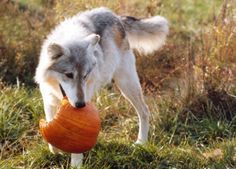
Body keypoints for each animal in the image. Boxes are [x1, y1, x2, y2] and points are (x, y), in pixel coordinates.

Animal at [34, 6, 168, 168]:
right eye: (69, 75)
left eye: (85, 75)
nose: (80, 105)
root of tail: (114, 15)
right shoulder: (48, 100)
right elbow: (50, 126)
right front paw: (55, 150)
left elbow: (76, 144)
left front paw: (76, 165)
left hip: (126, 85)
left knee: (144, 111)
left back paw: (141, 143)